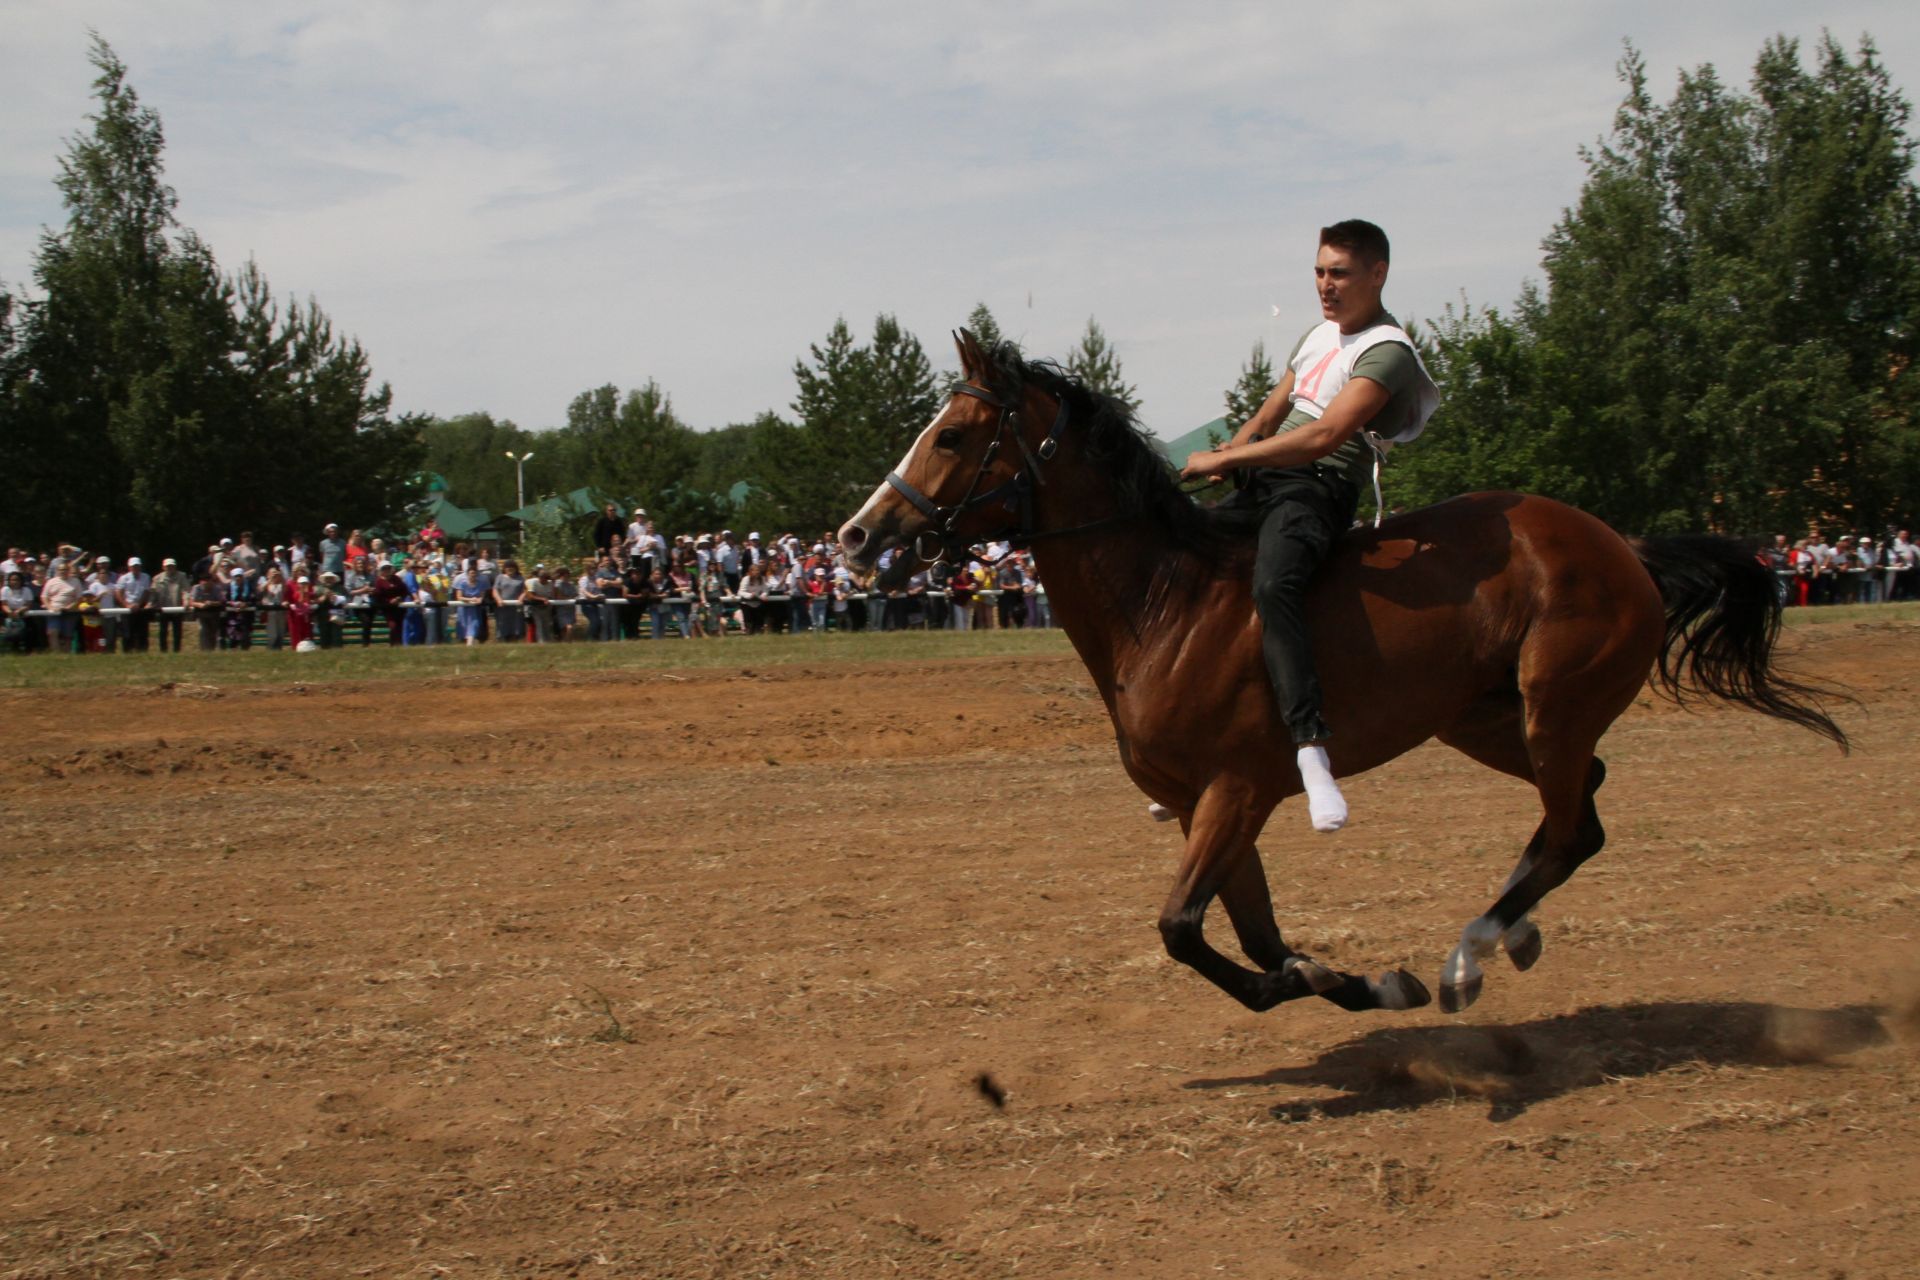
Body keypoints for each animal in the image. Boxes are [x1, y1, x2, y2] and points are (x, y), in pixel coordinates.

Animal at [844, 333, 1843, 1020]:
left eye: (953, 435)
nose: (857, 537)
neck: (1165, 605)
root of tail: (1622, 547)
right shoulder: (1210, 809)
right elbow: (1252, 938)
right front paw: (1357, 981)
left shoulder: (1236, 792)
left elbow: (1186, 933)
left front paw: (1359, 980)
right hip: (1485, 721)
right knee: (1583, 810)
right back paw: (1504, 938)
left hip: (1551, 710)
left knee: (1569, 827)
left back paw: (1470, 954)